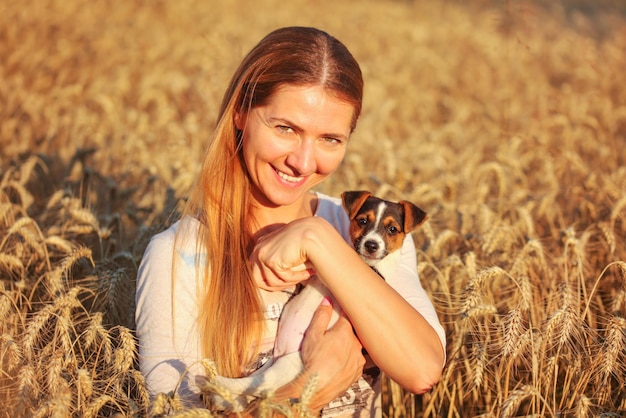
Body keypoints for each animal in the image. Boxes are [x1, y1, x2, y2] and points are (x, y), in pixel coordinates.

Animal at [197, 191, 426, 414]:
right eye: (362, 221)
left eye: (392, 229)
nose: (371, 245)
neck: (366, 264)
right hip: (274, 362)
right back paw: (221, 397)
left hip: (290, 363)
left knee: (258, 385)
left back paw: (218, 384)